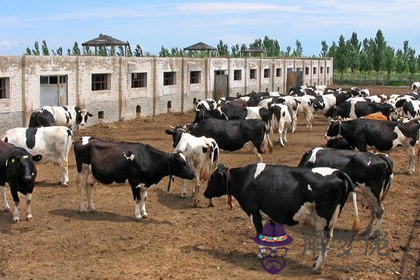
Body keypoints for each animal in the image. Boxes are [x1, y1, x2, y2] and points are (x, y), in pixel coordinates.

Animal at [203, 163, 358, 272]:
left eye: (212, 178)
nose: (205, 193)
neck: (244, 180)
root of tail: (337, 172)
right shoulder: (272, 215)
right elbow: (272, 235)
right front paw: (273, 253)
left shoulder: (254, 213)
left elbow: (259, 233)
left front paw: (261, 254)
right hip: (331, 220)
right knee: (329, 240)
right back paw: (319, 264)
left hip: (321, 220)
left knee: (324, 242)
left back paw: (317, 266)